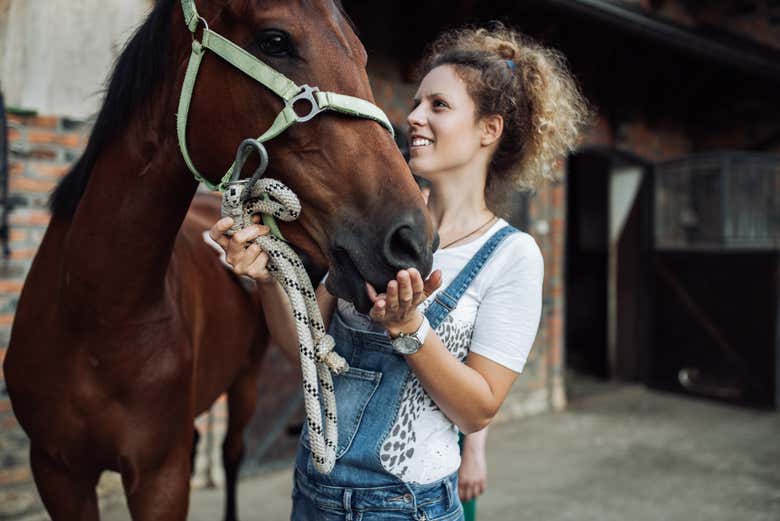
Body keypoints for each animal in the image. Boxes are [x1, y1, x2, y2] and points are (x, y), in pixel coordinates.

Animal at [3, 1, 436, 520]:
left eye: (363, 53)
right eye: (275, 40)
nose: (413, 239)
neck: (94, 317)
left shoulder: (160, 478)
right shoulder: (57, 472)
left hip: (245, 381)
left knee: (231, 453)